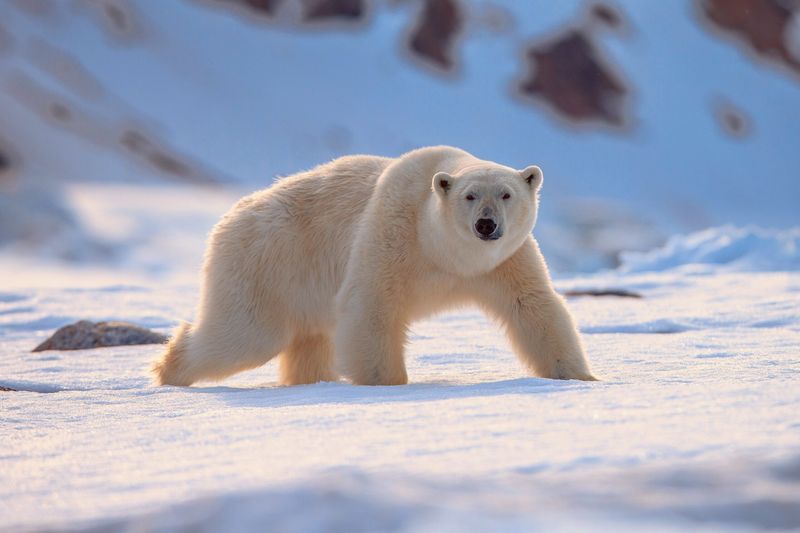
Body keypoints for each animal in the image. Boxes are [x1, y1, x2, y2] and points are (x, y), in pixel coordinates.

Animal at [155, 147, 592, 386]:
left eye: (506, 194)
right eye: (470, 196)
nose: (486, 225)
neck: (444, 253)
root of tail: (229, 217)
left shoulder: (504, 262)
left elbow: (533, 307)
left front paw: (579, 376)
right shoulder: (394, 233)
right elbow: (372, 306)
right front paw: (388, 383)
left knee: (309, 341)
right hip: (266, 264)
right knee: (245, 335)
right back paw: (168, 369)